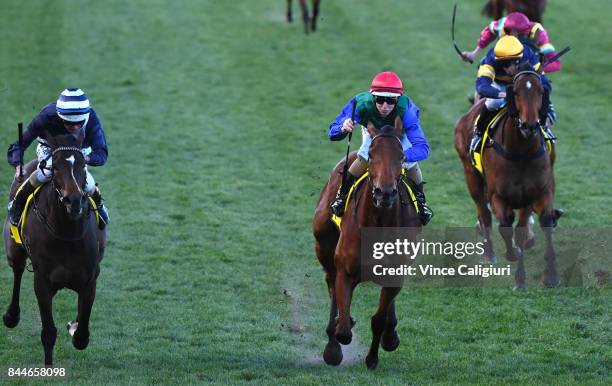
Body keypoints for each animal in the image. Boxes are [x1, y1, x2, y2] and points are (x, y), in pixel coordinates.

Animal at [2, 132, 106, 364]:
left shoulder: (90, 279)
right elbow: (48, 332)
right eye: (56, 167)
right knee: (17, 271)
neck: (67, 233)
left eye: (83, 165)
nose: (73, 200)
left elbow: (82, 336)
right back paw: (11, 316)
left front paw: (74, 327)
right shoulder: (42, 281)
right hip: (14, 250)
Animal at [316, 122, 420, 370]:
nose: (385, 193)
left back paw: (390, 335)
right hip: (323, 243)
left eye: (402, 156)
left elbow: (379, 319)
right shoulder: (345, 270)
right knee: (331, 283)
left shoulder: (395, 273)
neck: (378, 222)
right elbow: (343, 329)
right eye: (371, 156)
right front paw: (334, 347)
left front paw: (373, 357)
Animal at [456, 69, 556, 288]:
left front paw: (548, 275)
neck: (521, 151)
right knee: (484, 214)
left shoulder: (537, 193)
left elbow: (534, 225)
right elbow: (504, 227)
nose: (529, 125)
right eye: (516, 92)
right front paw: (513, 257)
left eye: (540, 92)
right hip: (471, 176)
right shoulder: (498, 196)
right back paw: (488, 253)